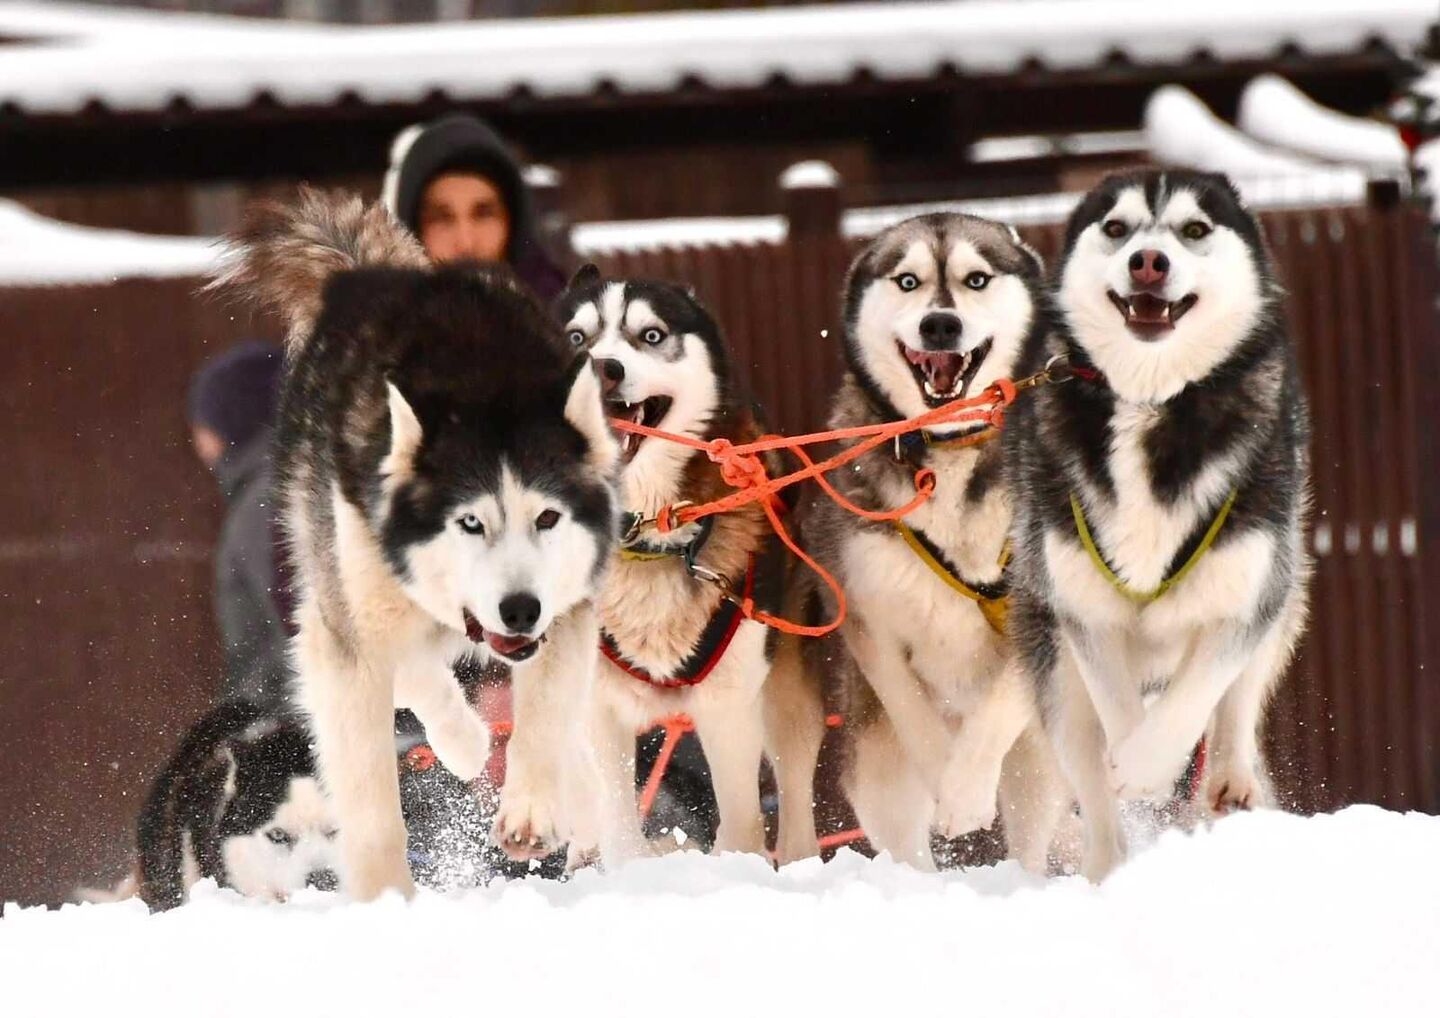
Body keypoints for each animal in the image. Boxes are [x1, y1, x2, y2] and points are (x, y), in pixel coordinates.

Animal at [216, 191, 616, 898]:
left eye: (547, 518)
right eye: (469, 523)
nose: (521, 610)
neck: (480, 391)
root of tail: (367, 272)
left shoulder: (566, 609)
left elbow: (543, 718)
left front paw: (533, 808)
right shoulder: (347, 644)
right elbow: (372, 804)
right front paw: (386, 900)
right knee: (412, 670)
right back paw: (464, 741)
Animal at [552, 266, 823, 863]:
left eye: (650, 335)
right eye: (576, 337)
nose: (603, 368)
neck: (645, 540)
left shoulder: (730, 703)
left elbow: (741, 820)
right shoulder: (597, 707)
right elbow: (618, 823)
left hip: (786, 691)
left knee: (794, 779)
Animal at [794, 214, 1065, 869]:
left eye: (977, 279)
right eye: (908, 280)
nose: (940, 323)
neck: (949, 450)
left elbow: (995, 713)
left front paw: (963, 792)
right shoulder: (868, 617)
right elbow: (911, 711)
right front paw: (947, 776)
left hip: (1037, 757)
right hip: (875, 759)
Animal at [1008, 171, 1313, 881]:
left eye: (1194, 229)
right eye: (1117, 228)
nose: (1148, 261)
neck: (1152, 400)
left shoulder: (1246, 587)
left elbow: (1200, 692)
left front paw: (1151, 764)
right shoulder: (1082, 605)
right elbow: (1118, 709)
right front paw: (1133, 761)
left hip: (1283, 581)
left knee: (1237, 703)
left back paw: (1230, 777)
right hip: (1051, 661)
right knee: (1089, 779)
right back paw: (1107, 868)